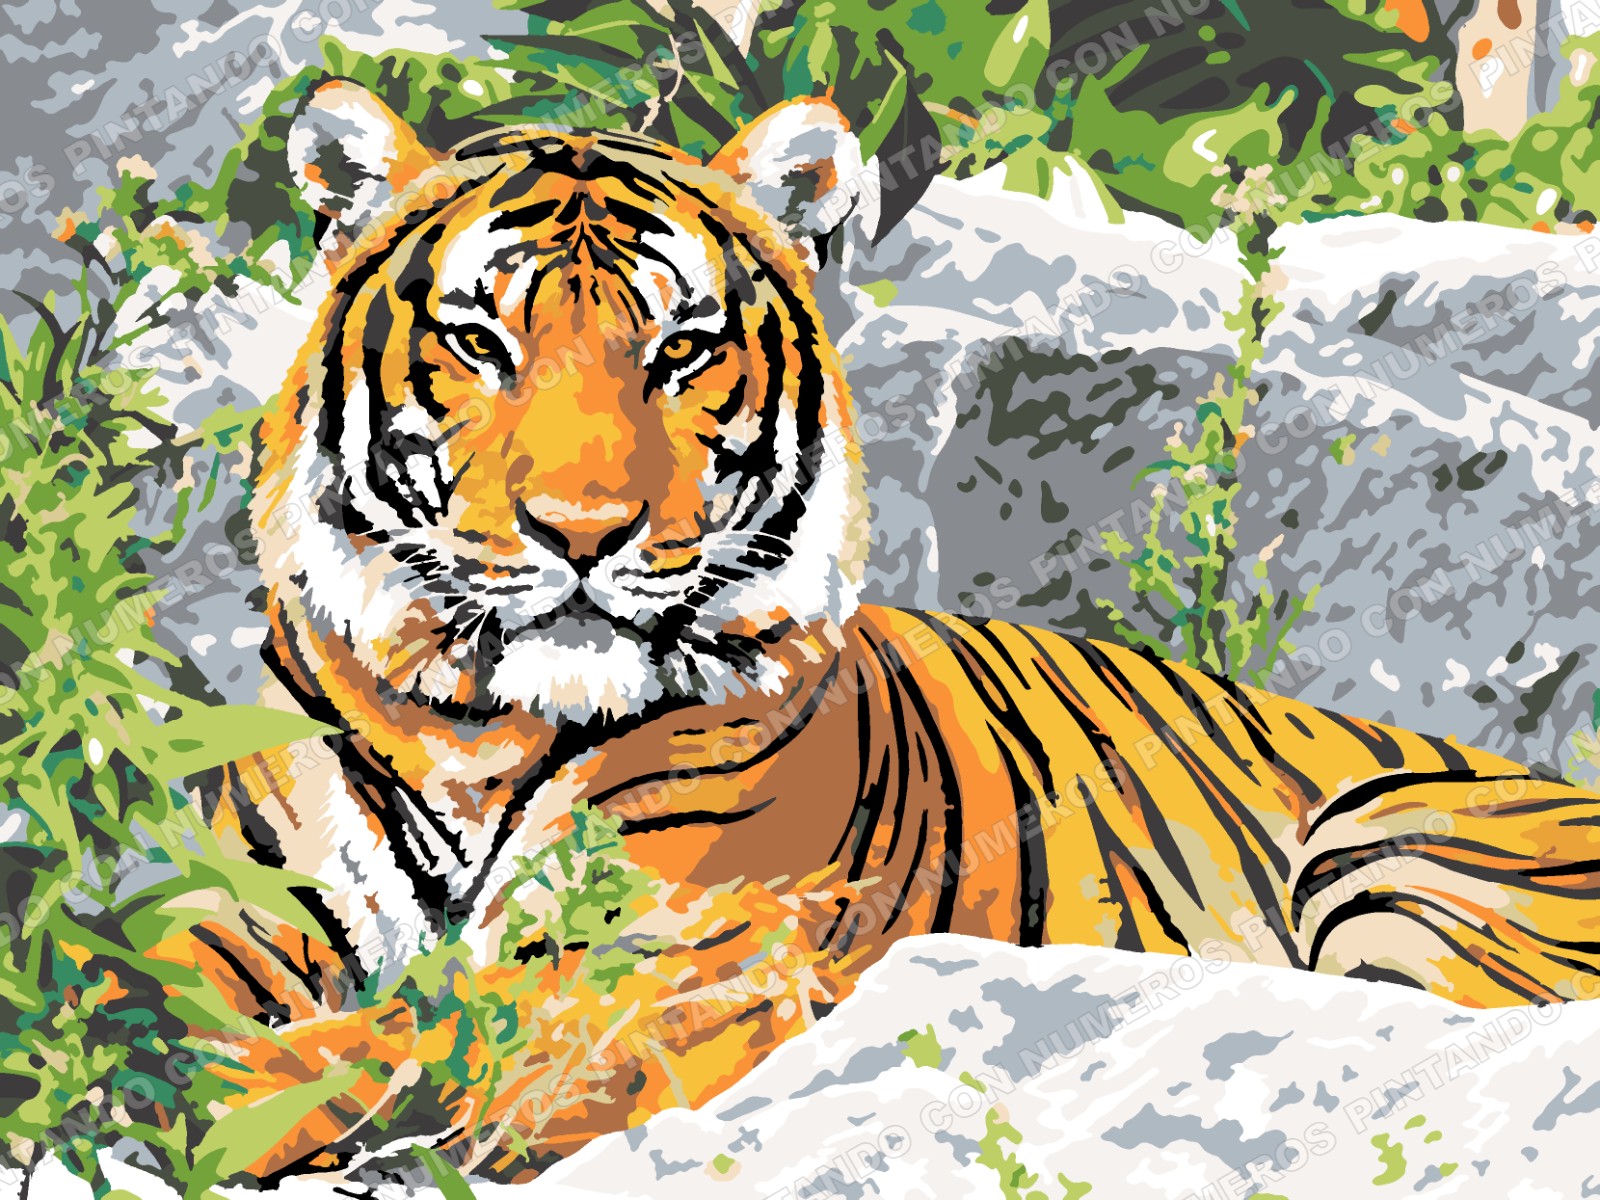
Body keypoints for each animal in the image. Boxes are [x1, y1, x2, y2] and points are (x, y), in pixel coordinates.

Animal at [173, 79, 1600, 1184]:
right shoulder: (244, 906)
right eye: (478, 342)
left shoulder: (675, 965)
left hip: (1388, 839)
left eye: (680, 352)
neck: (479, 732)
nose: (584, 533)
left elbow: (416, 1034)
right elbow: (177, 977)